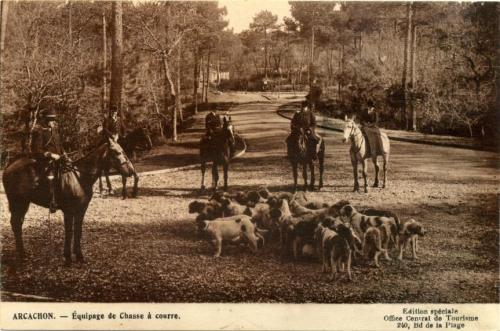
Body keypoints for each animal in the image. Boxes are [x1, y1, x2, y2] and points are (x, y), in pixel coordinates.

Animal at [2, 137, 128, 268]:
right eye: (116, 152)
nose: (129, 171)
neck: (79, 177)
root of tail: (9, 167)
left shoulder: (81, 210)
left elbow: (78, 231)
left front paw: (79, 256)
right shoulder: (69, 211)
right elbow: (69, 232)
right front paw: (67, 257)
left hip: (24, 204)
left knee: (18, 224)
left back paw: (22, 252)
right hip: (17, 203)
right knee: (16, 224)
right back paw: (21, 254)